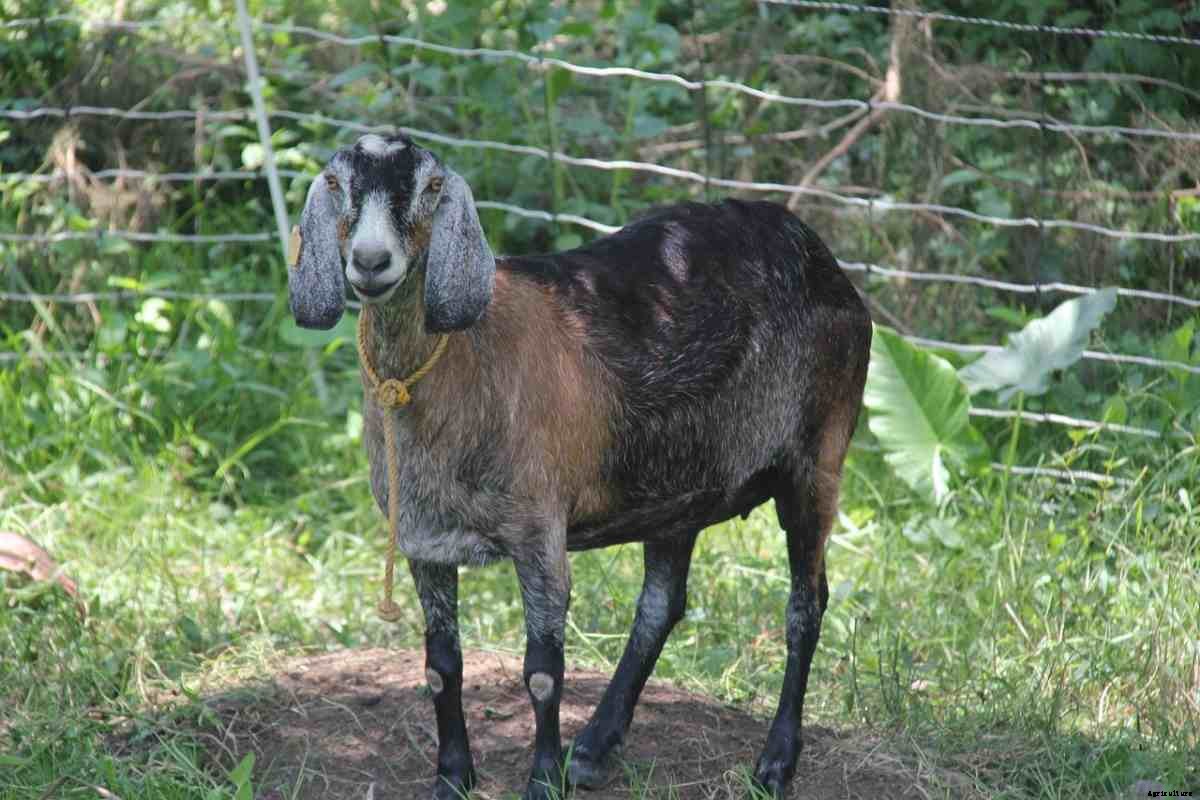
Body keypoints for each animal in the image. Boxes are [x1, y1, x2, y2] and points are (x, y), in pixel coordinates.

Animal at [287, 132, 872, 800]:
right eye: (336, 183)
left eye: (432, 186)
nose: (370, 261)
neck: (468, 362)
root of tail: (808, 241)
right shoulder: (423, 542)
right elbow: (441, 667)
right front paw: (453, 776)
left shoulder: (539, 531)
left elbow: (543, 672)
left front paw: (542, 781)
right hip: (679, 484)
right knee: (661, 604)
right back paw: (594, 746)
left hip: (818, 454)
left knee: (806, 604)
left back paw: (774, 762)